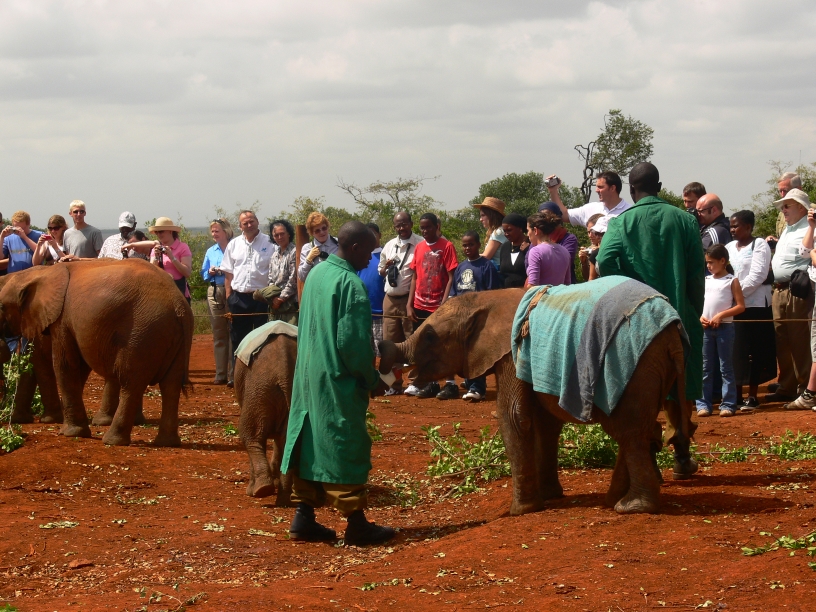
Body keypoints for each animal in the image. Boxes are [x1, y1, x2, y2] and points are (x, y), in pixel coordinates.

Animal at [0, 259, 193, 446]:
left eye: (1, 307)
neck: (38, 272)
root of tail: (178, 305)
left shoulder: (62, 319)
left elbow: (64, 364)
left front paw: (69, 432)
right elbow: (77, 366)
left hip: (143, 332)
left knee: (131, 382)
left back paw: (112, 441)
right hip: (172, 337)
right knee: (170, 385)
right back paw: (167, 443)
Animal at [234, 332, 296, 506]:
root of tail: (284, 371)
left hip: (258, 388)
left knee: (250, 435)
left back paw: (261, 491)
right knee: (287, 441)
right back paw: (283, 500)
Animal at [378, 288, 688, 515]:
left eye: (430, 335)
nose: (381, 350)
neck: (484, 298)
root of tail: (673, 328)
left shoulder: (511, 352)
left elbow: (514, 416)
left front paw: (519, 511)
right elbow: (546, 424)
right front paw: (550, 496)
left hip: (633, 365)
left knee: (630, 431)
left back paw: (632, 507)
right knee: (640, 429)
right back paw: (614, 499)